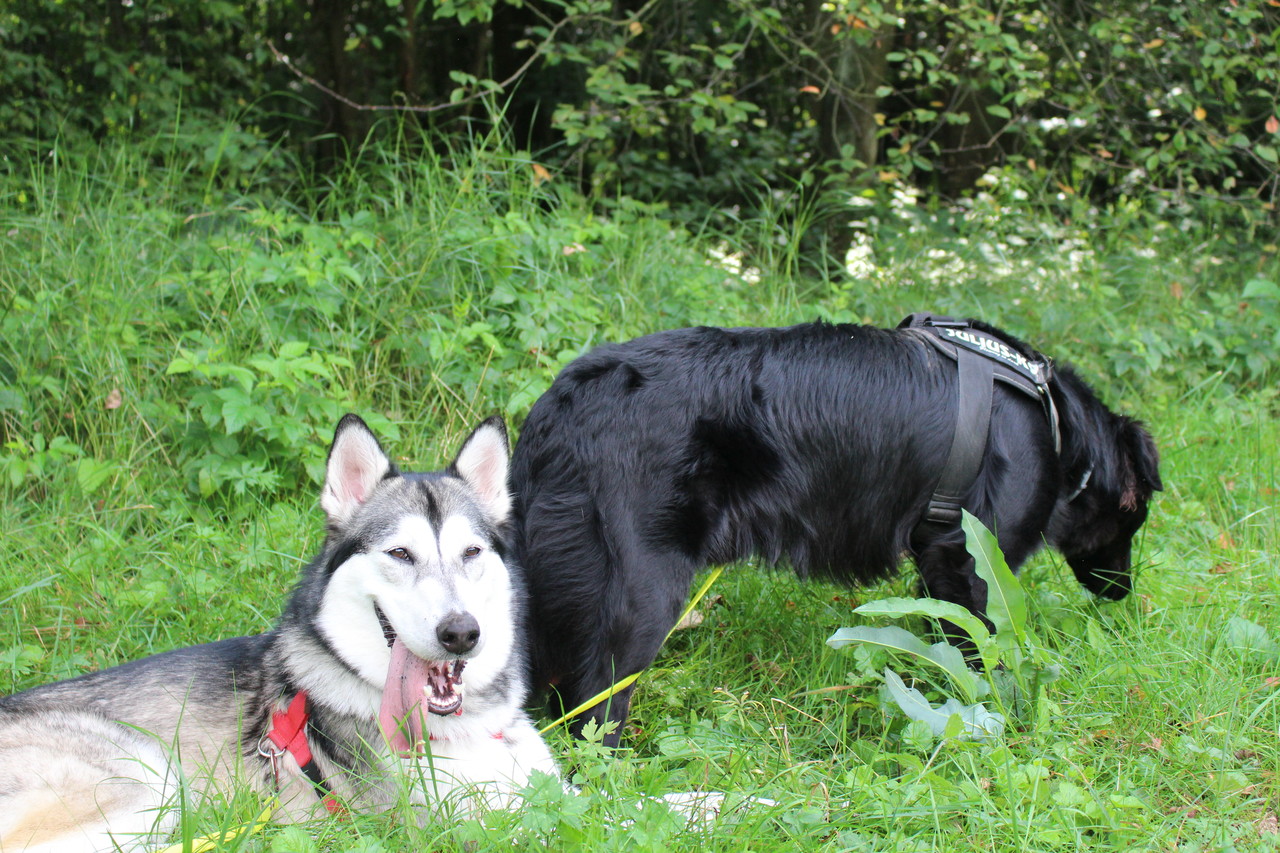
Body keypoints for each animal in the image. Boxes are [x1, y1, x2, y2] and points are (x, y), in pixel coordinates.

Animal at [0, 415, 557, 852]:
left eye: (472, 553)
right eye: (400, 553)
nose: (460, 632)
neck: (465, 728)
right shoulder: (440, 826)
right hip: (145, 779)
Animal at [509, 317, 1162, 743]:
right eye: (1135, 522)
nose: (1123, 592)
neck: (1055, 426)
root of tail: (563, 403)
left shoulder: (937, 561)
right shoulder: (972, 559)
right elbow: (984, 652)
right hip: (640, 592)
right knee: (593, 707)